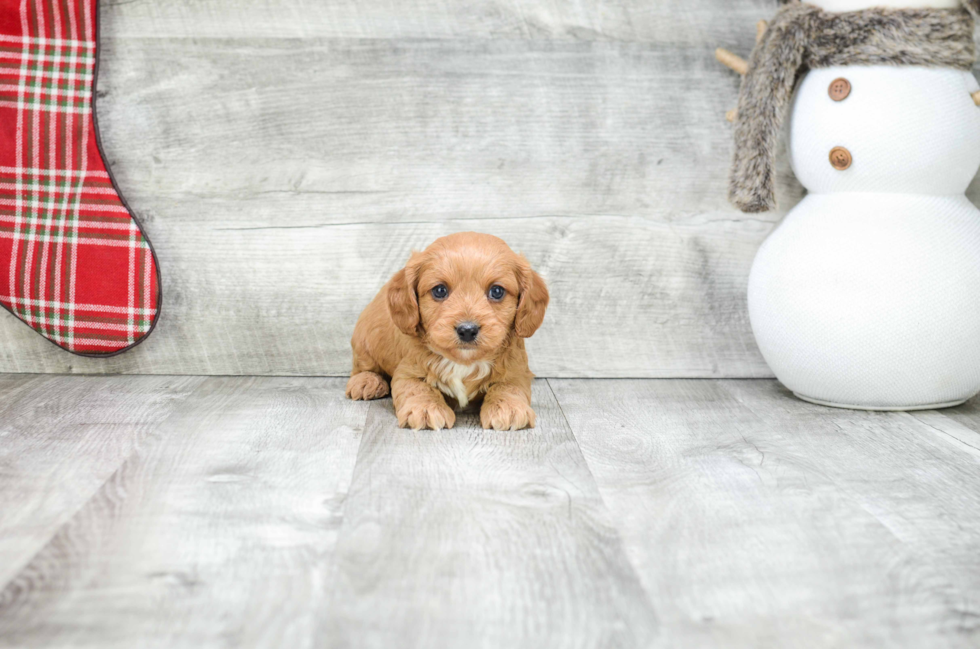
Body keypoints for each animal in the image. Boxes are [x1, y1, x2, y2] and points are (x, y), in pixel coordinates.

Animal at [344, 233, 548, 430]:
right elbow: (418, 387)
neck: (464, 362)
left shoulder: (517, 371)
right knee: (362, 367)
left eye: (497, 291)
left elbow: (509, 387)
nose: (467, 330)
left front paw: (509, 408)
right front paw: (426, 408)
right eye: (440, 290)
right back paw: (367, 382)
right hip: (365, 340)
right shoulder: (407, 371)